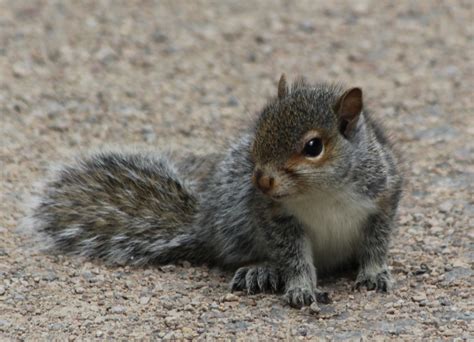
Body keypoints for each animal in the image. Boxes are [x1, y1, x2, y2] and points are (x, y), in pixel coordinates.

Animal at [26, 75, 404, 310]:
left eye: (313, 147)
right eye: (258, 130)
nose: (261, 182)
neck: (321, 192)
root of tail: (203, 225)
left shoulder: (383, 199)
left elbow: (376, 243)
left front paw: (374, 273)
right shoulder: (274, 216)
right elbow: (293, 256)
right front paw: (300, 287)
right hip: (236, 216)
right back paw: (261, 270)